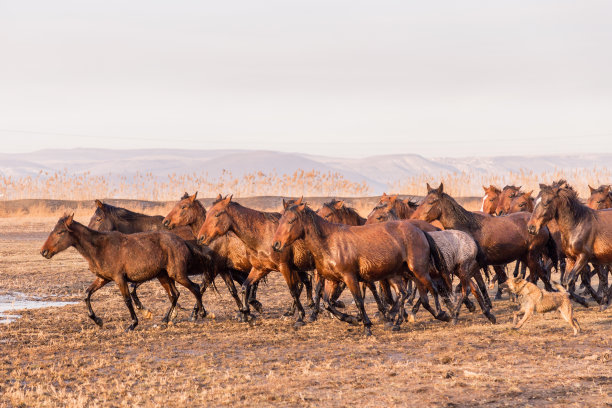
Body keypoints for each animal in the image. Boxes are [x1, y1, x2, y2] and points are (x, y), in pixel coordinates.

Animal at [42, 215, 208, 330]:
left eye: (60, 232)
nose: (44, 251)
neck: (99, 247)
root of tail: (182, 241)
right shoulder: (103, 279)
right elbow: (87, 294)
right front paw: (98, 321)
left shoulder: (119, 279)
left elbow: (127, 300)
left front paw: (133, 324)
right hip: (163, 276)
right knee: (175, 295)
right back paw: (165, 320)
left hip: (177, 275)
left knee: (195, 288)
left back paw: (200, 314)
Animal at [198, 195, 316, 328]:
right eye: (207, 214)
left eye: (217, 214)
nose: (201, 237)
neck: (263, 236)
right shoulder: (260, 268)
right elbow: (244, 287)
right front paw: (246, 314)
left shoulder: (284, 267)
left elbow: (293, 291)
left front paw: (300, 317)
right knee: (305, 282)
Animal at [270, 202, 452, 336]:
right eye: (280, 220)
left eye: (292, 220)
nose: (276, 244)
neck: (328, 242)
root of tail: (421, 231)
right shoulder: (332, 280)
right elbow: (327, 302)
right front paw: (351, 319)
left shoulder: (350, 278)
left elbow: (359, 300)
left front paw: (366, 326)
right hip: (399, 274)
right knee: (408, 294)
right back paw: (398, 322)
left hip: (419, 270)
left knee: (433, 289)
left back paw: (443, 314)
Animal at [408, 183, 556, 302]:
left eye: (431, 201)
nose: (413, 218)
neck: (468, 228)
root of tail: (540, 225)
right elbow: (480, 284)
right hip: (526, 257)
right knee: (539, 275)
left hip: (532, 256)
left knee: (539, 275)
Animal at [524, 180, 612, 308]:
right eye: (534, 202)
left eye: (547, 202)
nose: (531, 227)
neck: (577, 225)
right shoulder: (571, 258)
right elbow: (566, 282)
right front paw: (586, 300)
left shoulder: (583, 257)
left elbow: (571, 280)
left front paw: (586, 300)